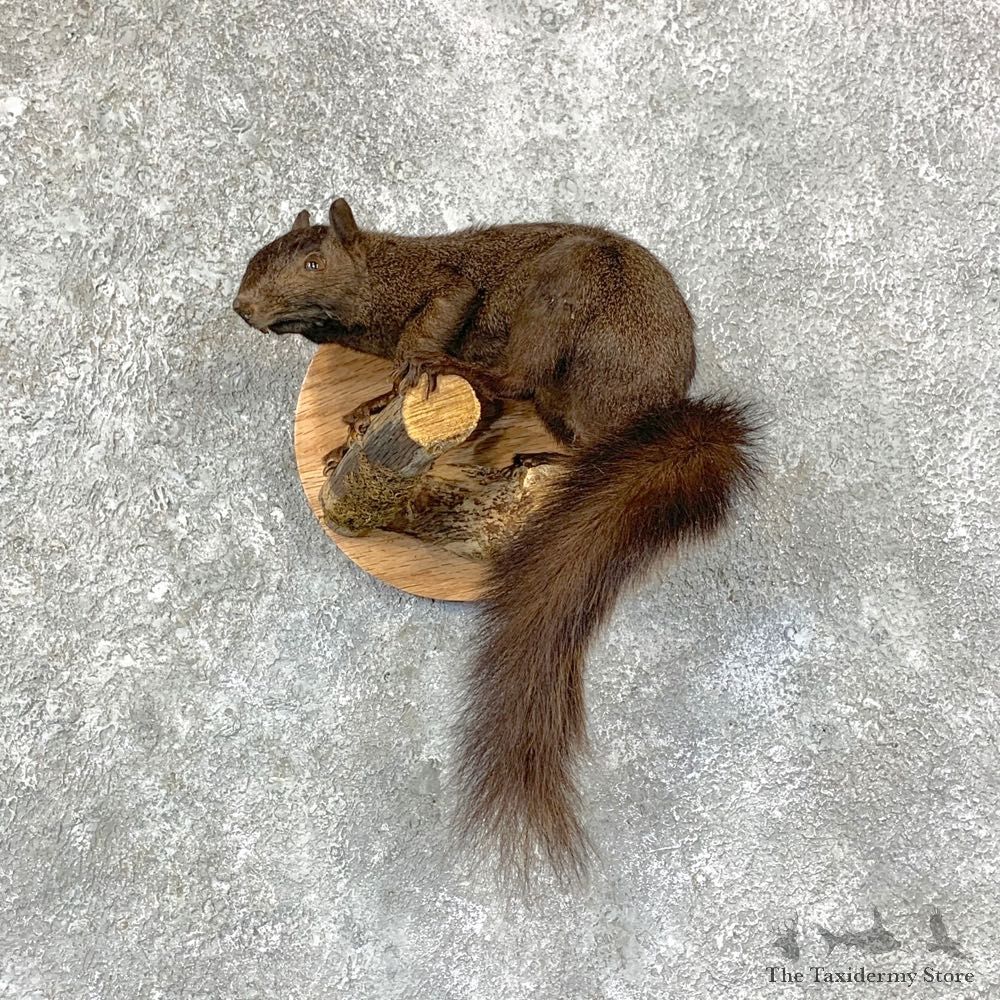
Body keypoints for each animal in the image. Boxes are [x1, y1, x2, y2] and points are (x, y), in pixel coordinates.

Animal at [233, 198, 759, 882]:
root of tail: (655, 417)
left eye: (314, 264)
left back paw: (467, 379)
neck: (380, 282)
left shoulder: (445, 285)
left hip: (566, 295)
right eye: (257, 257)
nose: (242, 305)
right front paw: (370, 404)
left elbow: (439, 314)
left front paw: (414, 365)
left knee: (519, 379)